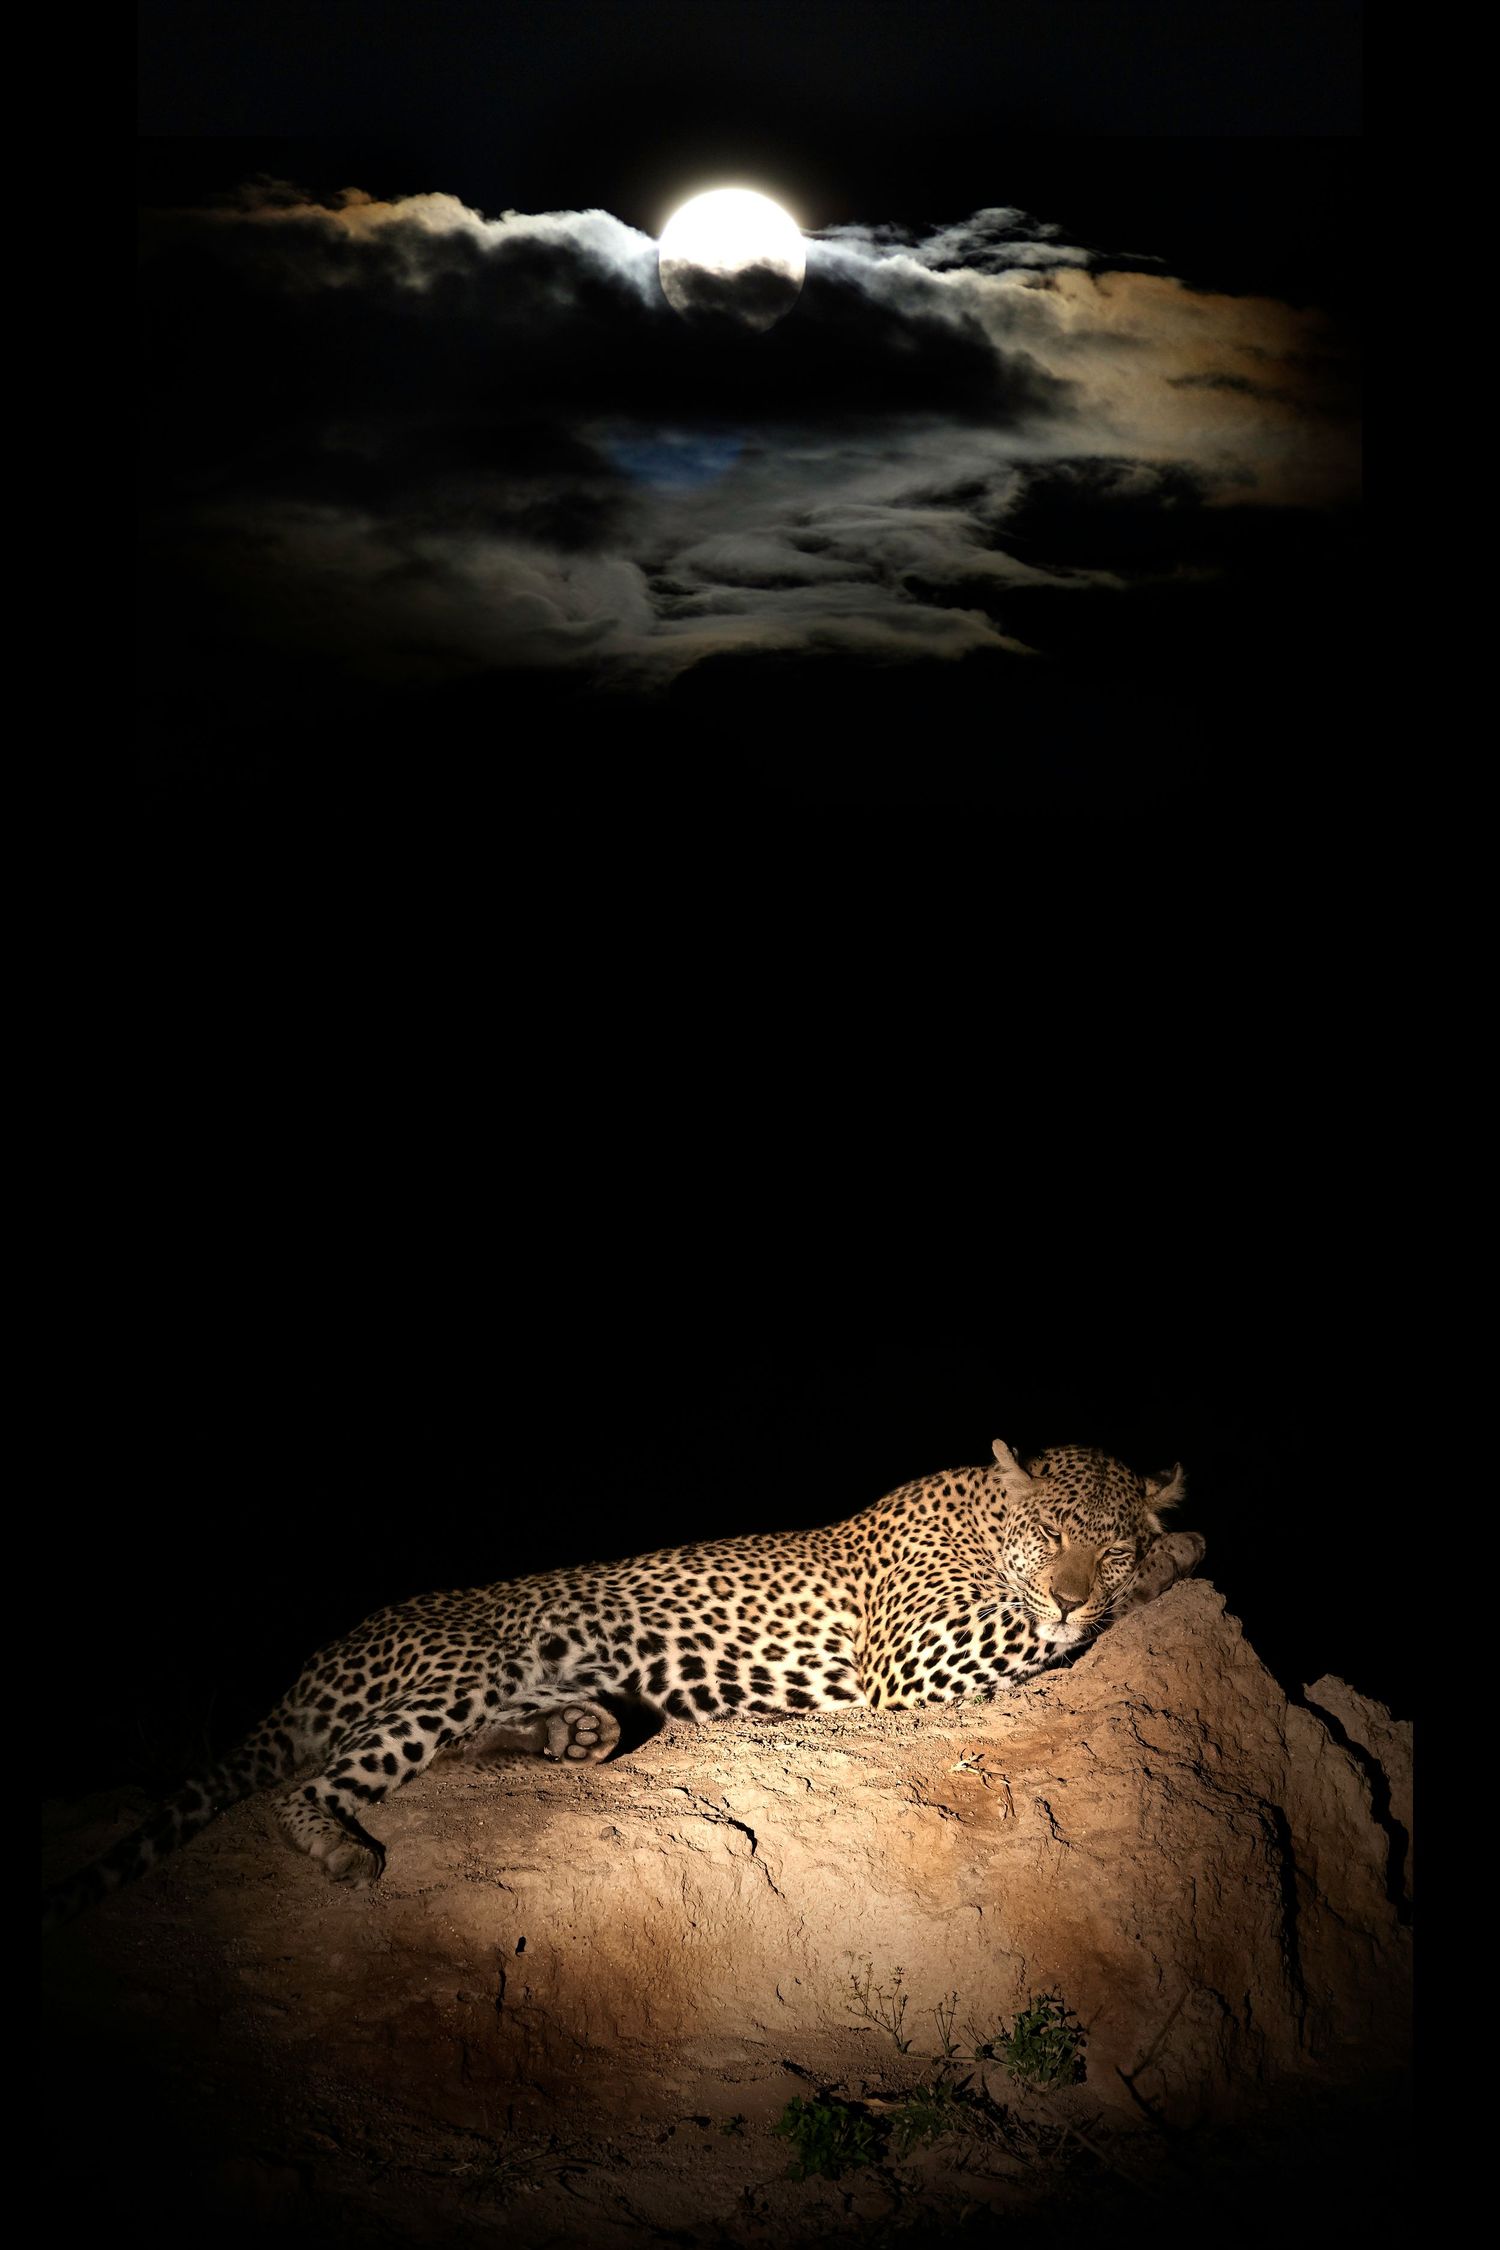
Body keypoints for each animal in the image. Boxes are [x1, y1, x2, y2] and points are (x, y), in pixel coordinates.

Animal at [44, 1439, 1202, 1921]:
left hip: (514, 1691)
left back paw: (567, 1736)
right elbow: (1034, 1628)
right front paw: (1173, 1561)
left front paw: (1159, 1556)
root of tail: (309, 1665)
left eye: (1103, 1541)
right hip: (469, 1664)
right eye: (1053, 1534)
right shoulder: (913, 1656)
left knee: (495, 1741)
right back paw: (338, 1847)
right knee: (310, 1784)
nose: (1074, 1594)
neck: (986, 1522)